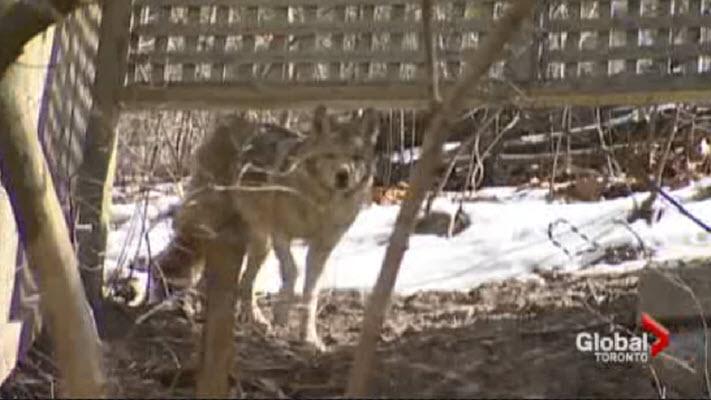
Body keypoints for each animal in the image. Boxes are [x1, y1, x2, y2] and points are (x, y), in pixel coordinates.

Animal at [149, 106, 379, 350]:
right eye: (330, 155)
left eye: (356, 158)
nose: (343, 176)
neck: (320, 204)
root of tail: (227, 121)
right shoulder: (280, 235)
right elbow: (292, 271)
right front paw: (282, 313)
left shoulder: (322, 248)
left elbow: (311, 295)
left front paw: (309, 338)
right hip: (211, 226)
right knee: (187, 263)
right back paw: (192, 309)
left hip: (259, 245)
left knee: (242, 284)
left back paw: (252, 320)